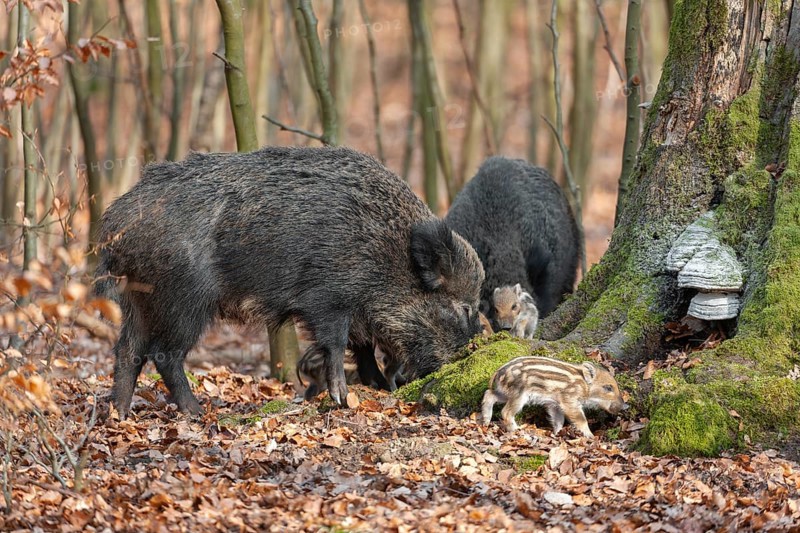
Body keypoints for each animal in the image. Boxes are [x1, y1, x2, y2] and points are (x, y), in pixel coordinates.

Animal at [95, 146, 484, 418]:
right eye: (464, 307)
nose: (463, 357)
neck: (389, 253)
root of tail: (115, 223)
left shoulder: (357, 310)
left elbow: (362, 348)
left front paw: (376, 387)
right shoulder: (328, 299)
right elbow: (335, 343)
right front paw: (342, 398)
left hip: (139, 298)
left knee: (127, 350)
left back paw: (120, 413)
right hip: (183, 300)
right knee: (164, 354)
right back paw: (197, 412)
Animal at [480, 356, 627, 437]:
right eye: (608, 388)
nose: (625, 406)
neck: (584, 386)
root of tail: (499, 371)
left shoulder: (554, 404)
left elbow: (559, 420)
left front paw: (556, 434)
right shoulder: (569, 400)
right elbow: (581, 420)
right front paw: (590, 437)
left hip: (504, 392)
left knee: (489, 395)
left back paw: (486, 422)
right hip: (519, 395)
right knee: (506, 412)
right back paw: (517, 431)